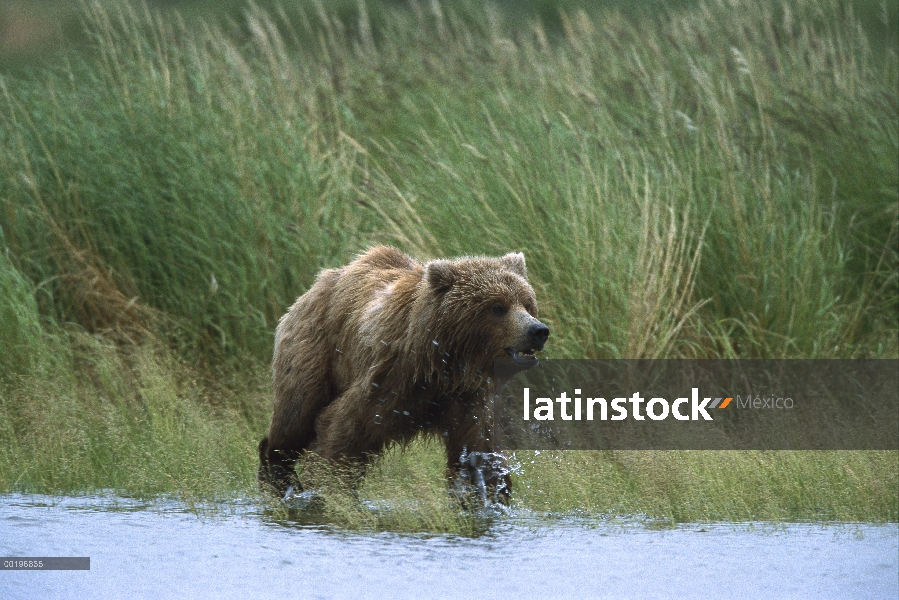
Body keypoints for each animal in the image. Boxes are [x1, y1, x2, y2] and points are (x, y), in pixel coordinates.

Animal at [255, 246, 548, 504]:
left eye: (526, 303)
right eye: (497, 307)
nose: (538, 330)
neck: (441, 366)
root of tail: (320, 282)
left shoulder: (468, 397)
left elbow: (478, 449)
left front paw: (491, 496)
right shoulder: (388, 379)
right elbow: (343, 427)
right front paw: (332, 489)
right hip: (315, 347)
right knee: (296, 414)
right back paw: (278, 476)